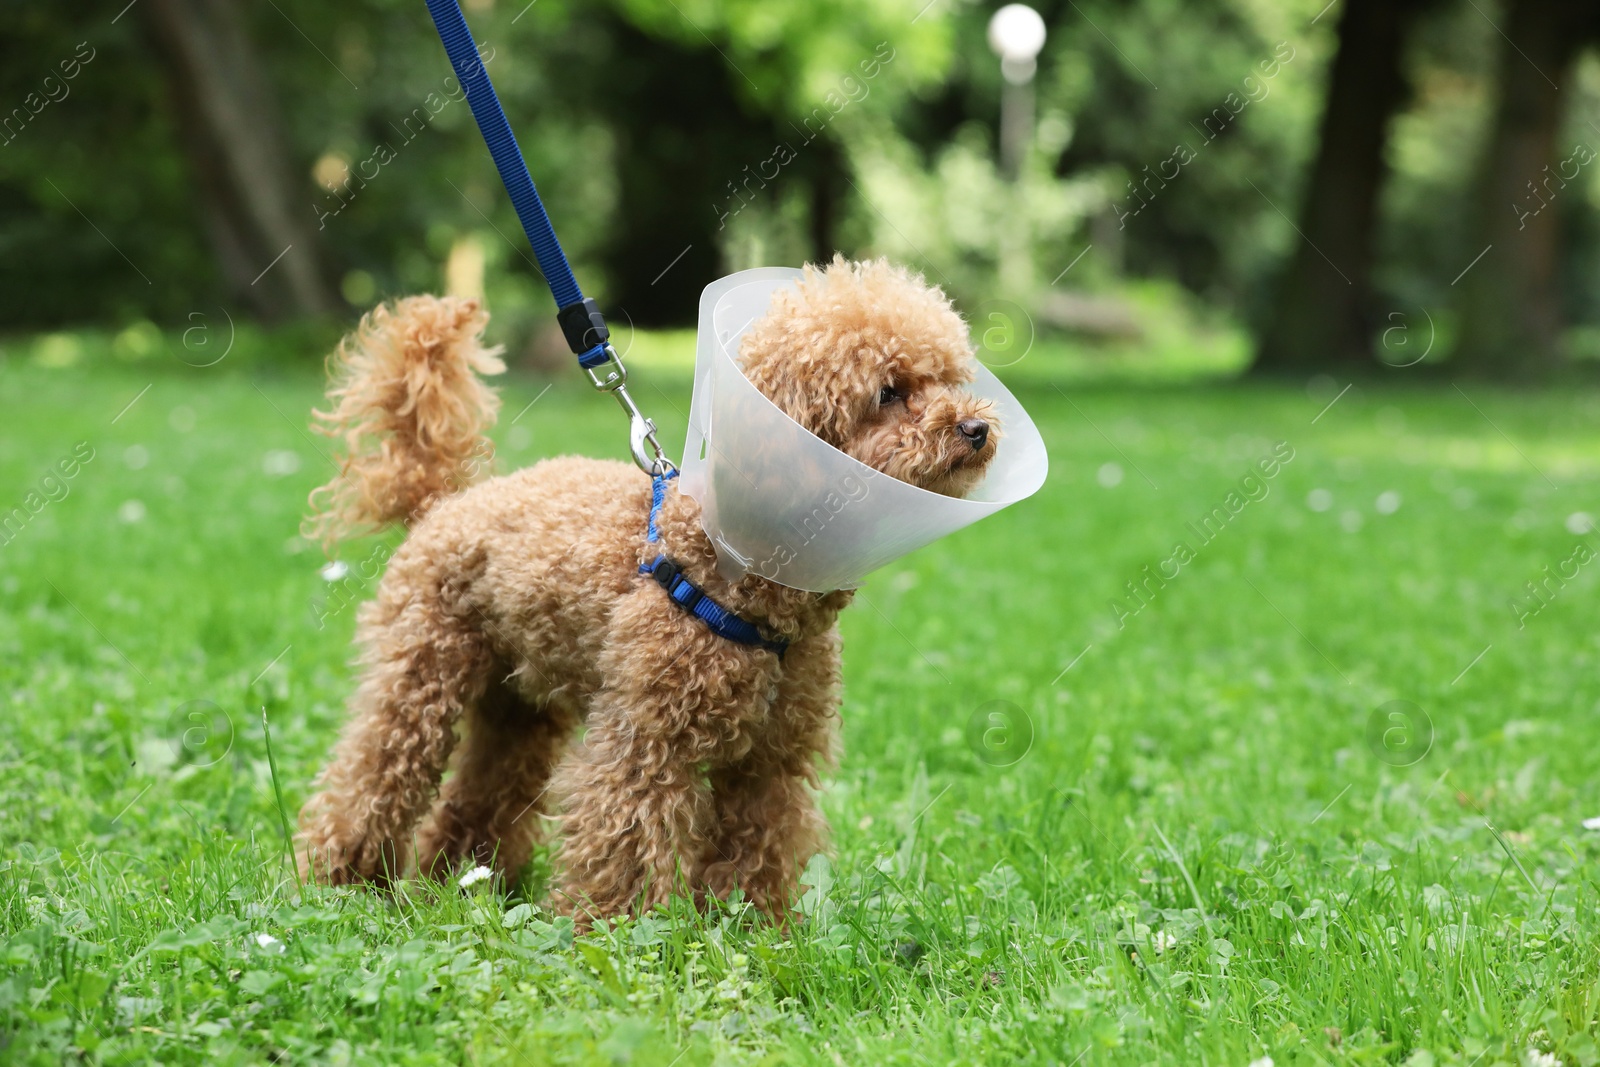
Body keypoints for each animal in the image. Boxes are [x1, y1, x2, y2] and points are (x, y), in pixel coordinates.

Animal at [297, 255, 998, 921]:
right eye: (888, 391)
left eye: (948, 380)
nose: (976, 428)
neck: (732, 569)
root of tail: (445, 502)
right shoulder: (645, 741)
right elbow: (627, 841)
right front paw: (614, 933)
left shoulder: (770, 761)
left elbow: (760, 844)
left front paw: (755, 929)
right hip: (420, 674)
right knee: (374, 776)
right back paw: (338, 880)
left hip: (518, 703)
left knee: (478, 793)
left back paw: (460, 880)